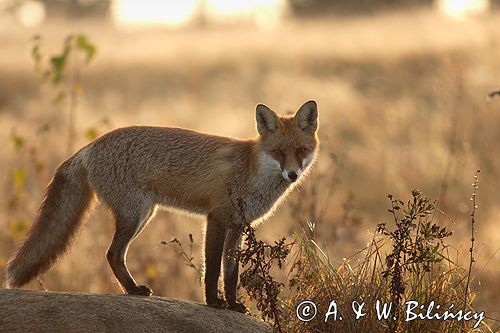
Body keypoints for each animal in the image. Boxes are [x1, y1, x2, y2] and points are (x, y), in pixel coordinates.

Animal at [4, 100, 320, 310]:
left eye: (300, 150)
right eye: (277, 152)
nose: (292, 175)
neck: (252, 171)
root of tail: (89, 147)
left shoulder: (239, 226)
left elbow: (231, 272)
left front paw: (233, 304)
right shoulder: (216, 218)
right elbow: (212, 268)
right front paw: (213, 302)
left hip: (144, 214)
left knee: (114, 254)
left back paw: (131, 289)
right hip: (135, 214)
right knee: (112, 253)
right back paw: (133, 290)